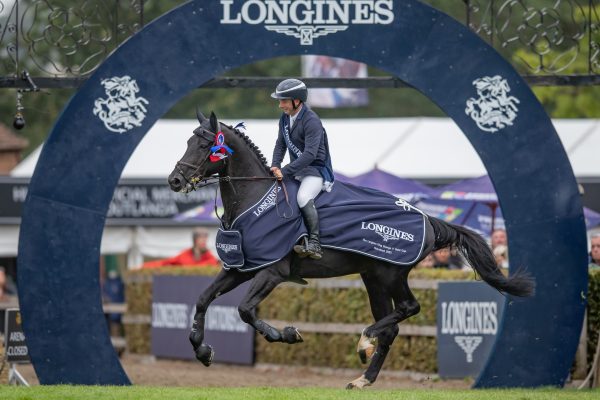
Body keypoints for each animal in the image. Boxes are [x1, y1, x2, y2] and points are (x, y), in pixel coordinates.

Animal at [168, 111, 536, 390]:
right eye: (187, 141)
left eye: (205, 144)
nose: (174, 180)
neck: (257, 201)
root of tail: (428, 218)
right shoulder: (239, 268)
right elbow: (202, 299)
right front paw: (202, 351)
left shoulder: (272, 271)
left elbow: (245, 310)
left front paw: (287, 334)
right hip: (373, 278)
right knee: (392, 326)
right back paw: (363, 377)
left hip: (390, 273)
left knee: (409, 308)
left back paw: (363, 342)